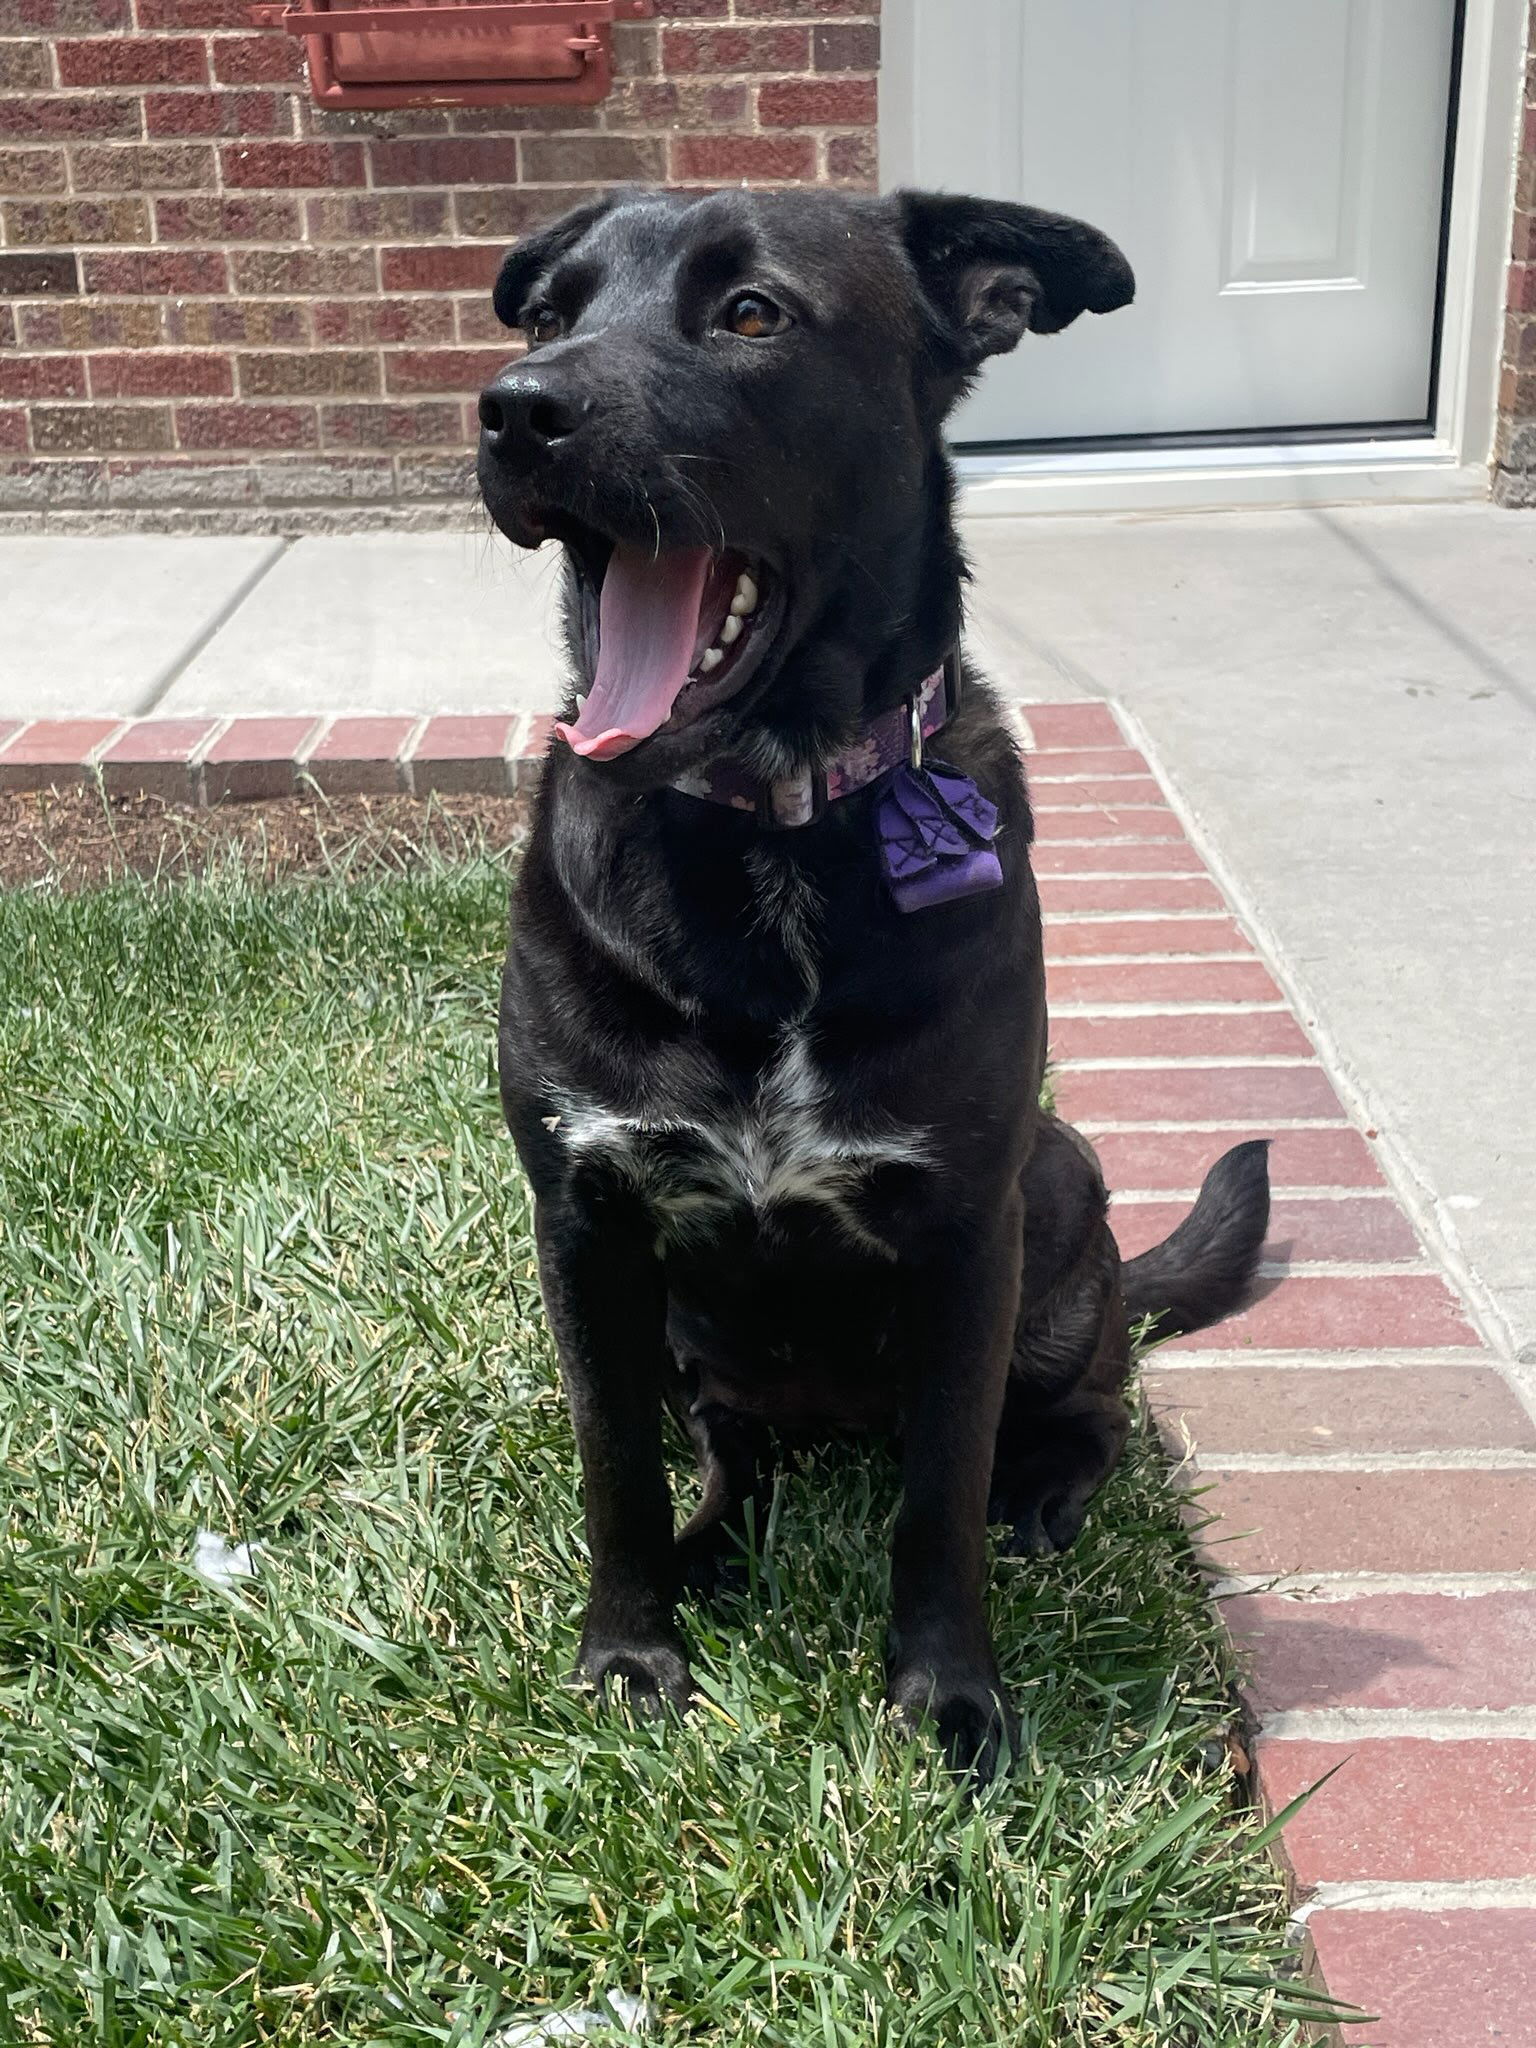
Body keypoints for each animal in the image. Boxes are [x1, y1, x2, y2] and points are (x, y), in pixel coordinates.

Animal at [483, 184, 1277, 1777]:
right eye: (549, 314)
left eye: (751, 314)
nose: (513, 408)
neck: (767, 827)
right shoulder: (585, 1219)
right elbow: (617, 1469)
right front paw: (629, 1651)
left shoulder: (970, 1227)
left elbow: (939, 1502)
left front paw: (950, 1697)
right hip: (701, 1344)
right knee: (732, 1455)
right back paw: (718, 1550)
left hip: (1060, 1187)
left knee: (1085, 1408)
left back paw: (1044, 1492)